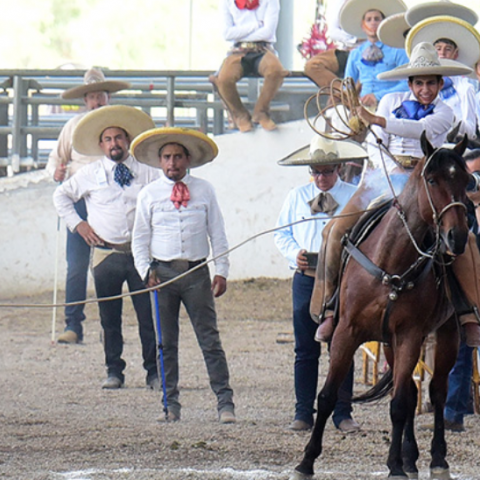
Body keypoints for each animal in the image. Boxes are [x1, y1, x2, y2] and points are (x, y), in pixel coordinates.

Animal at [290, 132, 470, 480]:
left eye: (467, 180)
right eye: (432, 179)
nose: (457, 237)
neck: (391, 263)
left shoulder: (410, 335)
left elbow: (399, 403)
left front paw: (396, 467)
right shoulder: (347, 332)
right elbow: (328, 395)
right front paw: (305, 463)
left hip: (445, 334)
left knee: (437, 392)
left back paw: (436, 460)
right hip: (389, 342)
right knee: (413, 392)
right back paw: (410, 458)